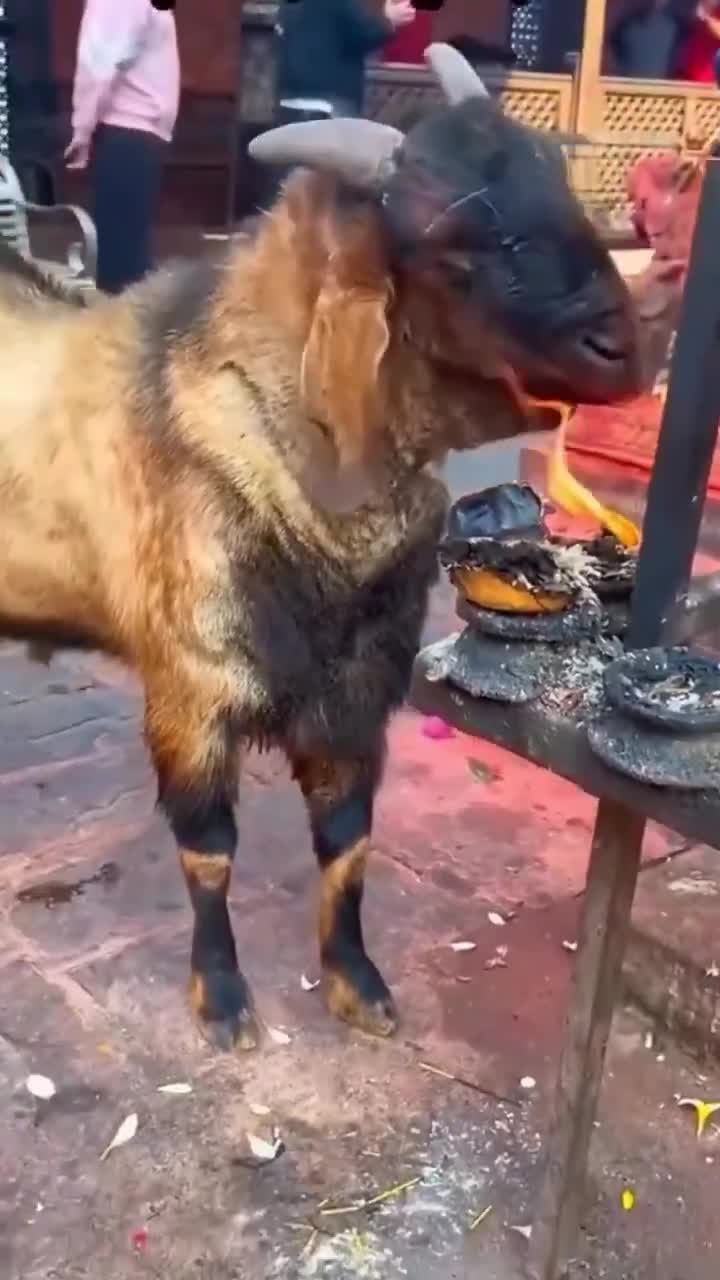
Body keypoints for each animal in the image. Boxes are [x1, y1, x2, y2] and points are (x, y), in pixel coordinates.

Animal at [0, 46, 641, 1051]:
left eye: (556, 178)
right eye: (452, 249)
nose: (627, 344)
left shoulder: (357, 695)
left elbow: (346, 844)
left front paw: (359, 986)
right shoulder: (193, 690)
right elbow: (209, 852)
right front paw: (224, 1001)